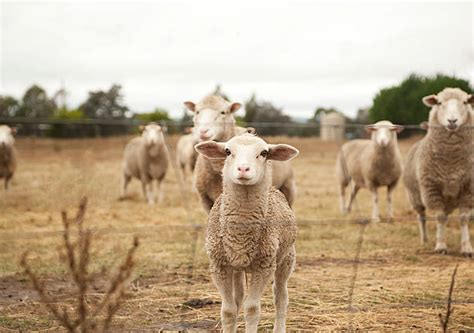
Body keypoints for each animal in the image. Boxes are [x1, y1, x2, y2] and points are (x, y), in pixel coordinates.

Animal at [196, 133, 300, 332]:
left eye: (264, 153)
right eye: (227, 151)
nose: (243, 169)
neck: (241, 231)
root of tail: (274, 189)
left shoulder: (264, 266)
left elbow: (252, 309)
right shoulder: (219, 266)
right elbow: (228, 310)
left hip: (286, 257)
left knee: (281, 297)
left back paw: (279, 326)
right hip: (237, 267)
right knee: (238, 298)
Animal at [404, 87, 474, 255]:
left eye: (465, 102)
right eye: (440, 103)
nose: (452, 121)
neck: (452, 161)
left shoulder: (468, 189)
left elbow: (464, 219)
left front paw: (466, 248)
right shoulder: (432, 189)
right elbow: (440, 218)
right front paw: (441, 246)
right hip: (415, 196)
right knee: (421, 217)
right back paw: (425, 240)